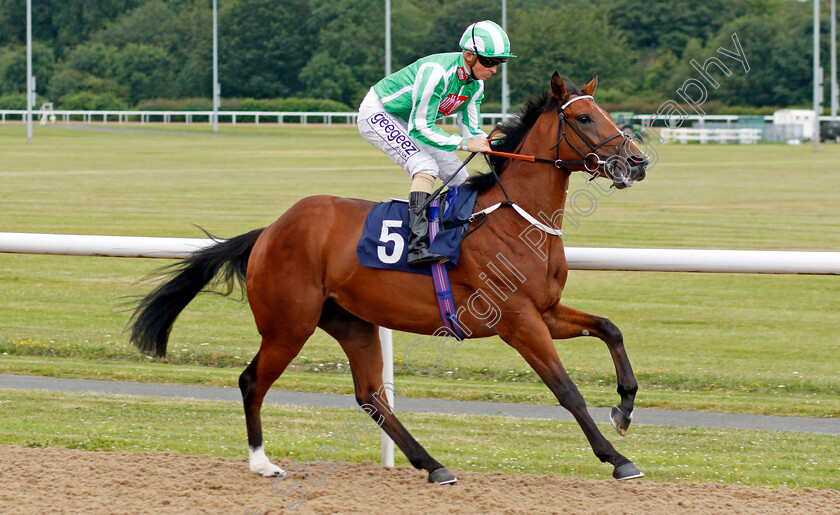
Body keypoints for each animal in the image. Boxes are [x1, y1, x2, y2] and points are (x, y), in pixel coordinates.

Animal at [128, 72, 648, 484]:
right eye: (584, 119)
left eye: (605, 112)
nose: (638, 161)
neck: (512, 217)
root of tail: (270, 230)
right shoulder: (518, 320)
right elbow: (567, 390)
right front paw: (617, 458)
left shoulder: (546, 311)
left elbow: (611, 328)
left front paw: (624, 409)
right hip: (288, 324)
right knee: (253, 381)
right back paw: (262, 463)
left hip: (352, 321)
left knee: (371, 395)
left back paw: (433, 464)